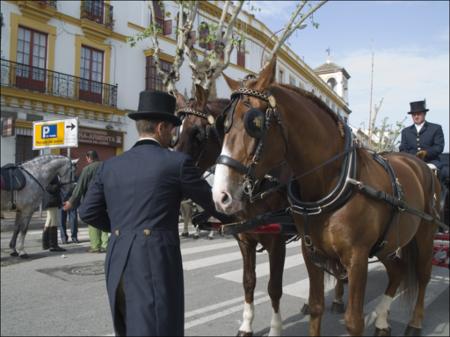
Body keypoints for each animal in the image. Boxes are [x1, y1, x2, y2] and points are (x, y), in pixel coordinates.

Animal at [174, 85, 346, 334]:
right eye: (175, 132)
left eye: (198, 133)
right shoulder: (245, 238)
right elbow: (248, 282)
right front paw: (246, 325)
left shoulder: (277, 241)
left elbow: (274, 287)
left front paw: (275, 328)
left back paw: (339, 299)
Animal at [213, 56, 442, 334]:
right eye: (222, 125)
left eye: (253, 123)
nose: (221, 194)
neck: (334, 180)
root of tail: (418, 162)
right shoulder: (309, 253)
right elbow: (313, 306)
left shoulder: (356, 258)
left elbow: (353, 320)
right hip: (387, 244)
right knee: (397, 271)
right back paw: (381, 319)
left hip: (425, 235)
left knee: (423, 274)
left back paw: (414, 322)